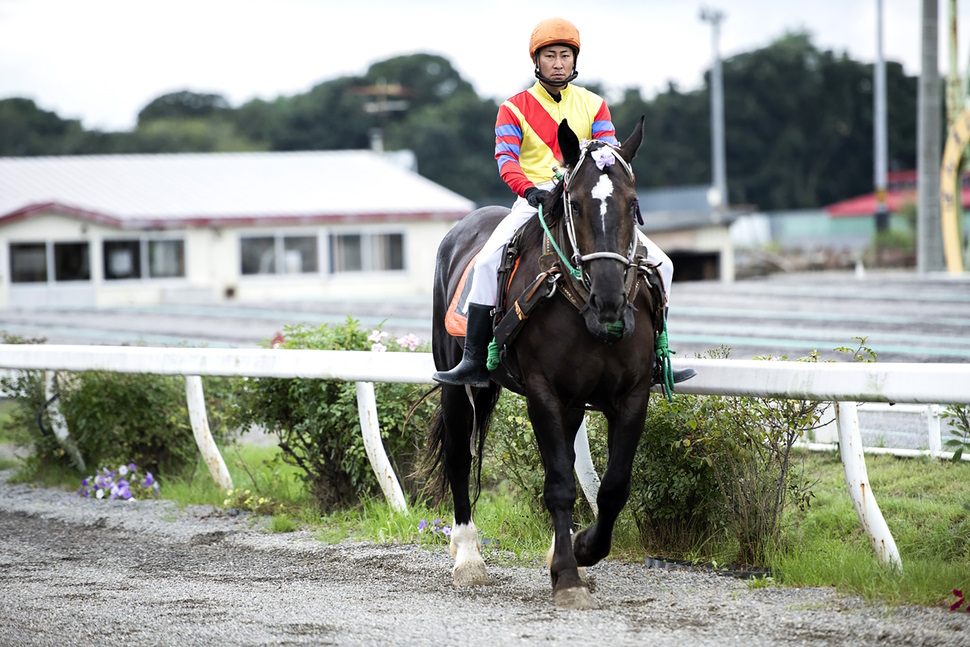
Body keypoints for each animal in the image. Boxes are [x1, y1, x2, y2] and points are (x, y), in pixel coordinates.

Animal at [428, 119, 656, 612]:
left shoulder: (630, 396)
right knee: (458, 456)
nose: (610, 301)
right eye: (575, 204)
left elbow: (612, 487)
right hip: (456, 382)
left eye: (633, 204)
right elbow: (559, 484)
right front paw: (568, 575)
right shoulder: (543, 392)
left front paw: (582, 549)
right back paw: (468, 557)